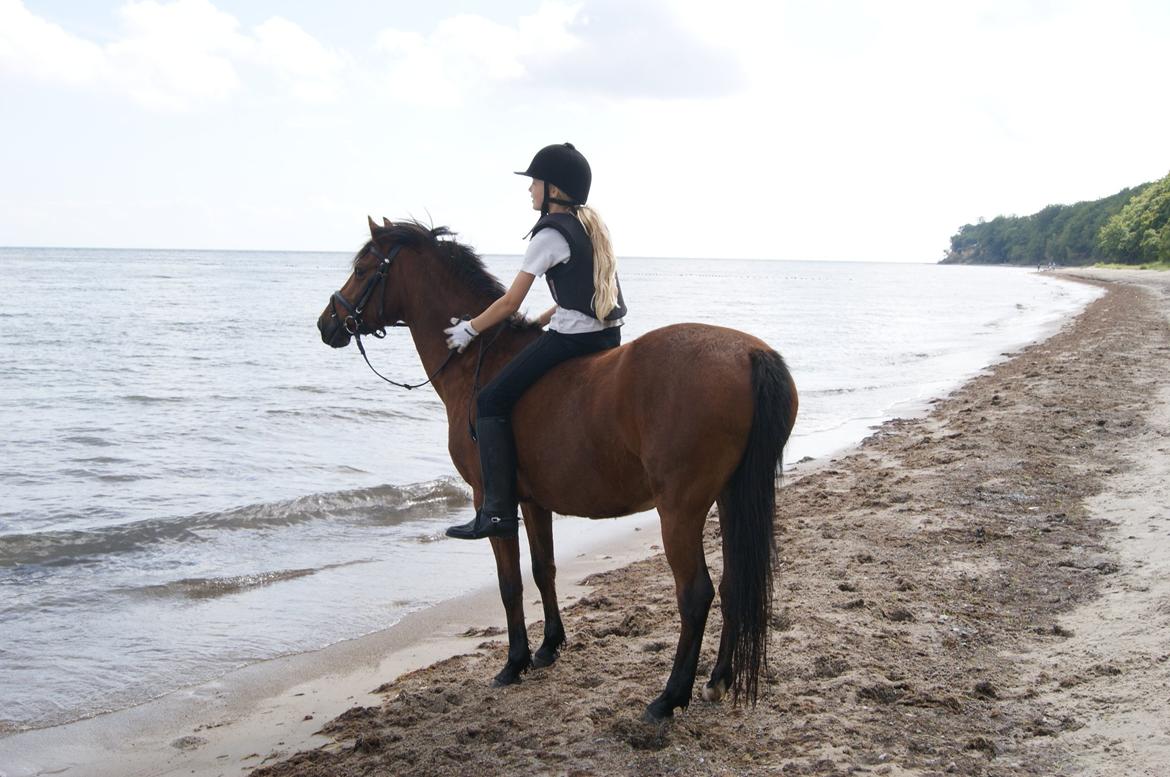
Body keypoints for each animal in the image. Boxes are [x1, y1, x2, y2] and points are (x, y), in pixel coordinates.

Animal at [315, 218, 800, 720]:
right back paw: (717, 680)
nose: (327, 323)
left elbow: (509, 583)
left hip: (680, 511)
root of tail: (749, 354)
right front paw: (549, 647)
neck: (480, 361)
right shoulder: (532, 501)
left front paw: (515, 662)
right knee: (733, 584)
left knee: (696, 593)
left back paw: (669, 697)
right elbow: (543, 569)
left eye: (362, 268)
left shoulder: (492, 501)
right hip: (731, 496)